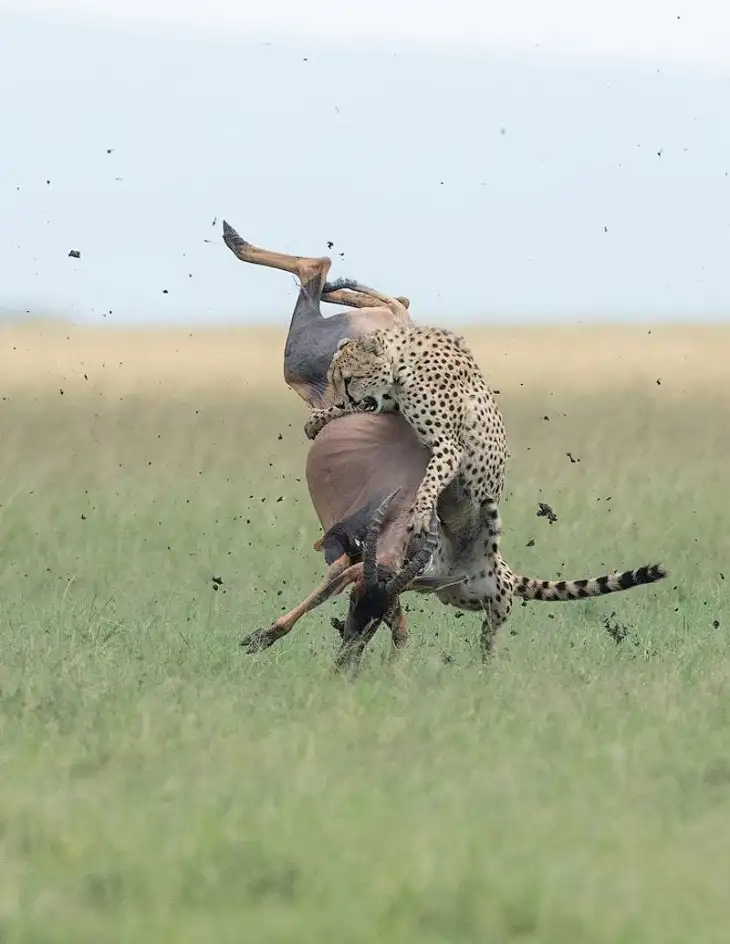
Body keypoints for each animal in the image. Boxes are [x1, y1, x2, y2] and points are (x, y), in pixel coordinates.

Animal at [302, 326, 506, 544]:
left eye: (349, 379)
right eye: (332, 381)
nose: (340, 402)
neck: (400, 362)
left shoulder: (449, 446)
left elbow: (430, 479)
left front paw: (420, 514)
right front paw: (319, 417)